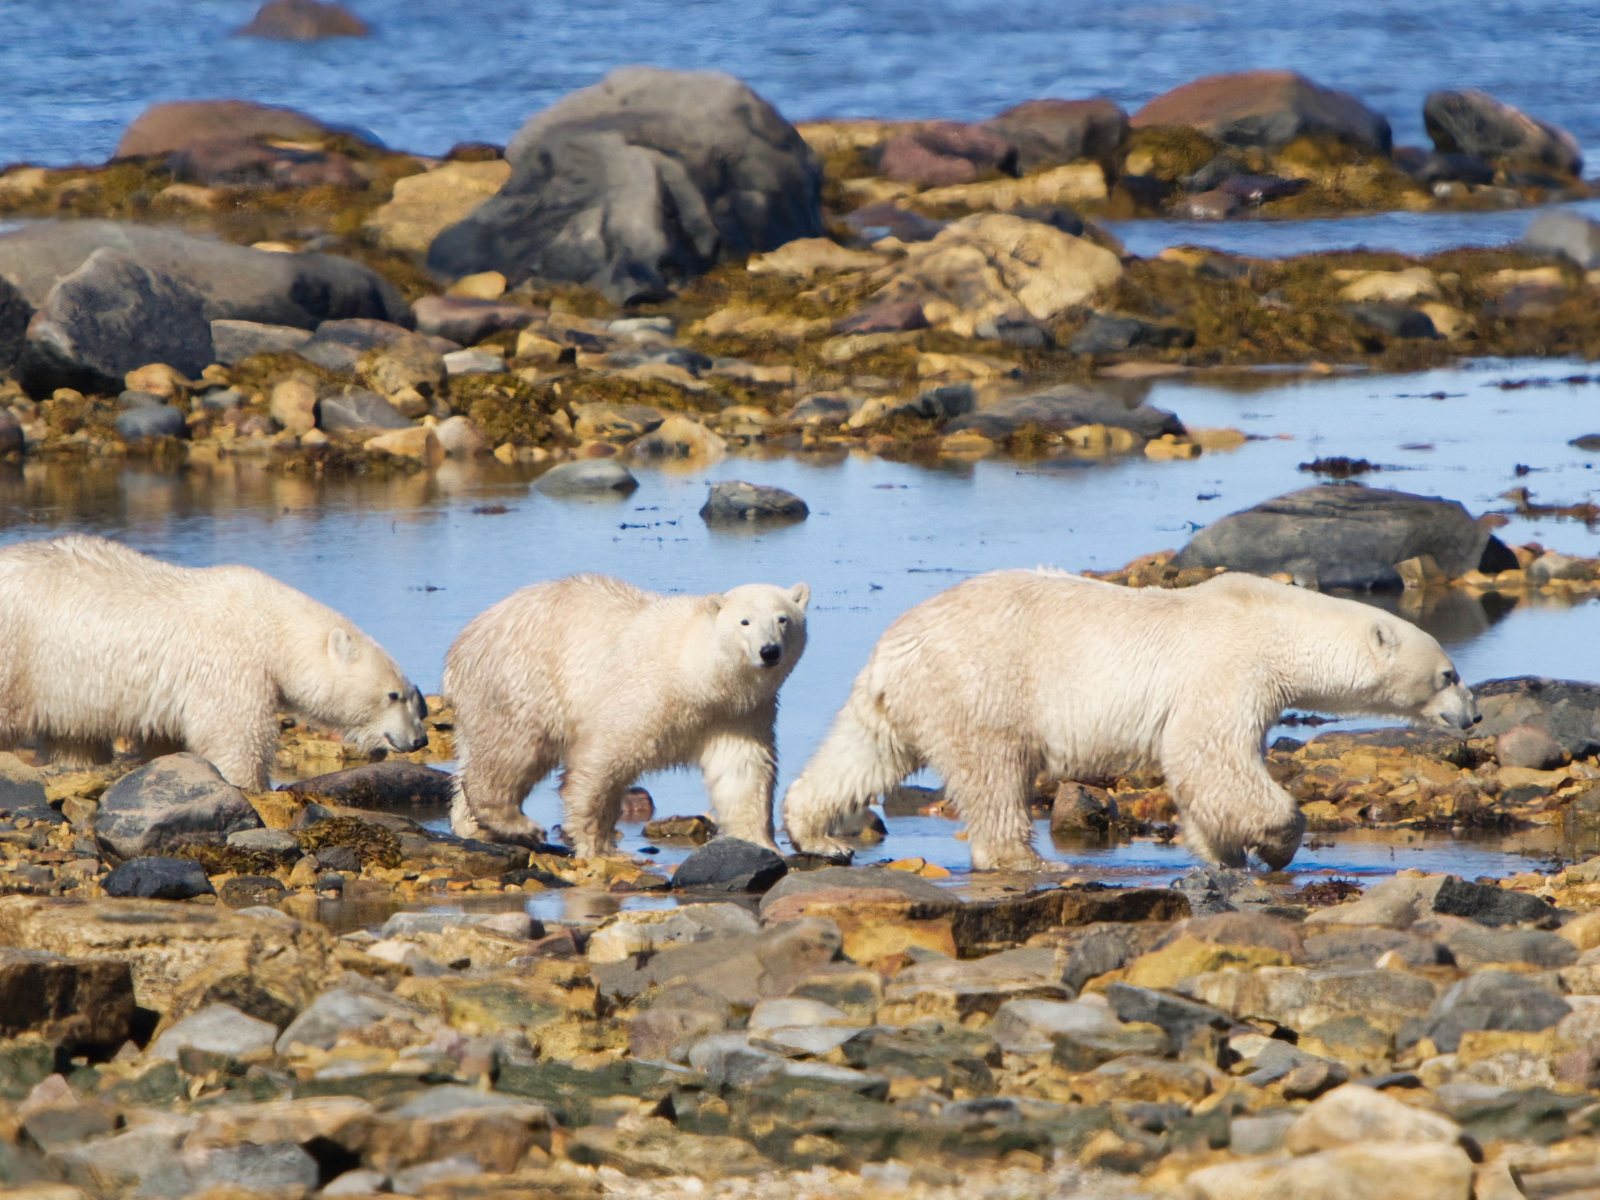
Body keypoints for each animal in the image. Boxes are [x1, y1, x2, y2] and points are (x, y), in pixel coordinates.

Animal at [0, 534, 428, 790]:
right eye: (393, 695)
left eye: (412, 695)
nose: (419, 739)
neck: (272, 623)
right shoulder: (231, 664)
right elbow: (234, 735)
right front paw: (251, 787)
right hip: (18, 654)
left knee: (74, 732)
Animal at [444, 572, 806, 857]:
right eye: (744, 621)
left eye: (782, 619)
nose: (769, 651)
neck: (697, 676)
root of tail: (462, 643)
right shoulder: (645, 693)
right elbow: (602, 758)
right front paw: (597, 843)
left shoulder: (738, 714)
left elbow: (741, 770)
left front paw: (761, 843)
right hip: (521, 678)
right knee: (514, 749)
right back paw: (517, 824)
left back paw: (471, 826)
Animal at [780, 572, 1478, 876]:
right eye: (1448, 674)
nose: (1472, 714)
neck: (1276, 622)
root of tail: (891, 647)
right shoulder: (1227, 666)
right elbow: (1209, 752)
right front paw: (1276, 843)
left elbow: (1203, 775)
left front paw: (1220, 851)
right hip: (982, 685)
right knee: (995, 771)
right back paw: (1023, 859)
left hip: (901, 700)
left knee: (862, 753)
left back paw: (816, 834)